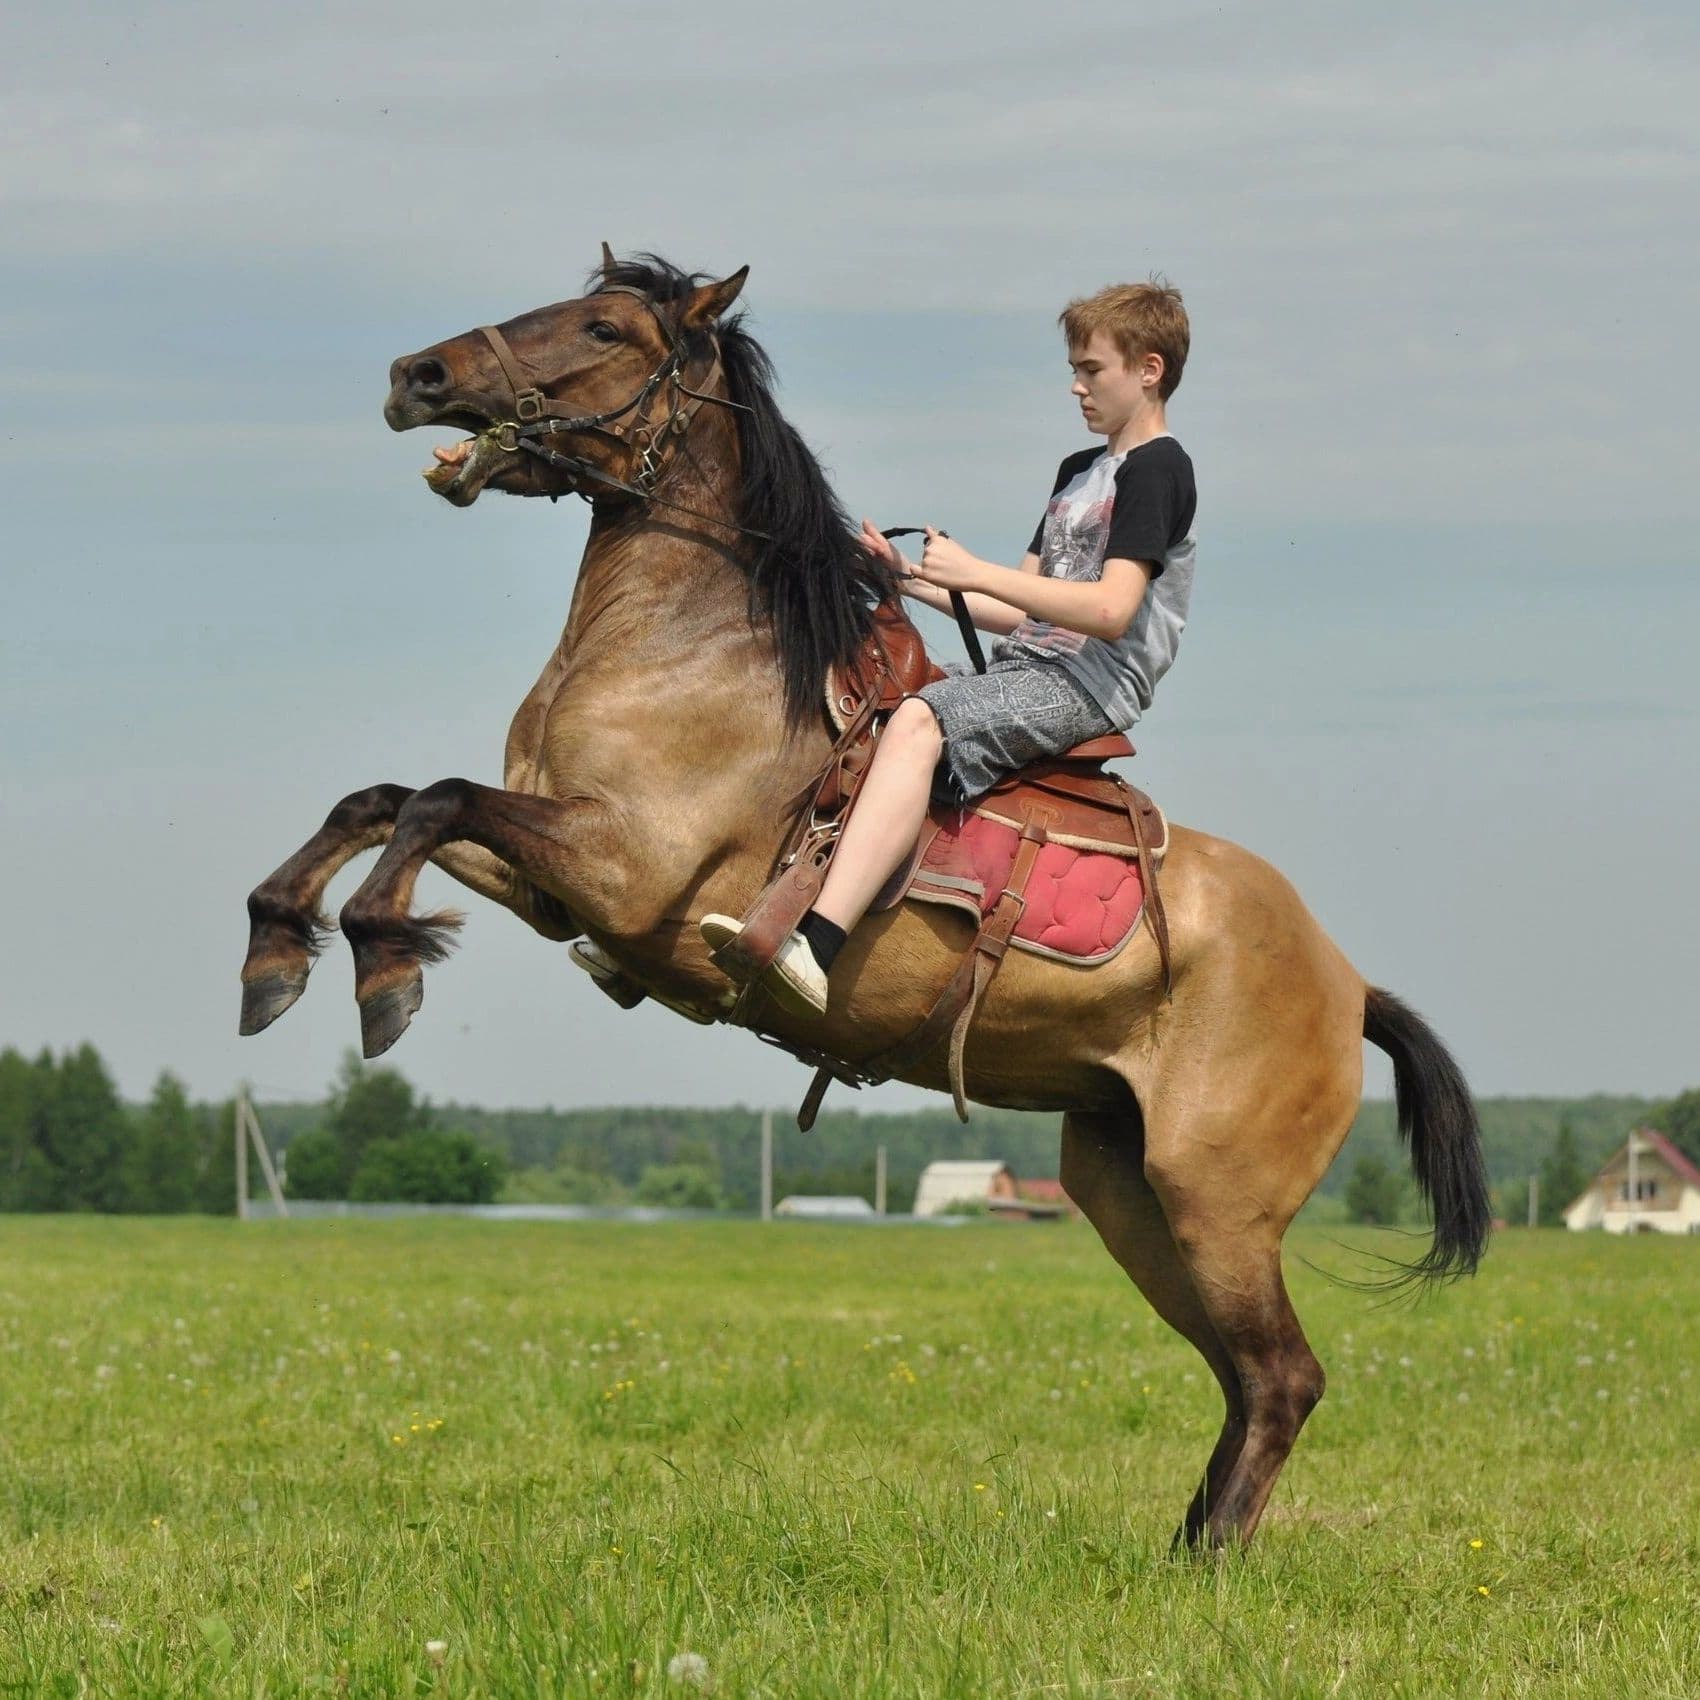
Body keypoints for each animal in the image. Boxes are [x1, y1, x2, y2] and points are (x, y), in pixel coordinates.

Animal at [239, 248, 1489, 1557]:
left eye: (604, 327)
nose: (416, 374)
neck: (695, 652)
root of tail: (1348, 985)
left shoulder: (622, 868)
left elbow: (431, 800)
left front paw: (382, 963)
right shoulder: (550, 875)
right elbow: (382, 798)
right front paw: (276, 947)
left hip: (1219, 1205)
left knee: (1282, 1375)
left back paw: (1206, 1566)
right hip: (1128, 1191)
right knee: (1245, 1377)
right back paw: (1185, 1550)